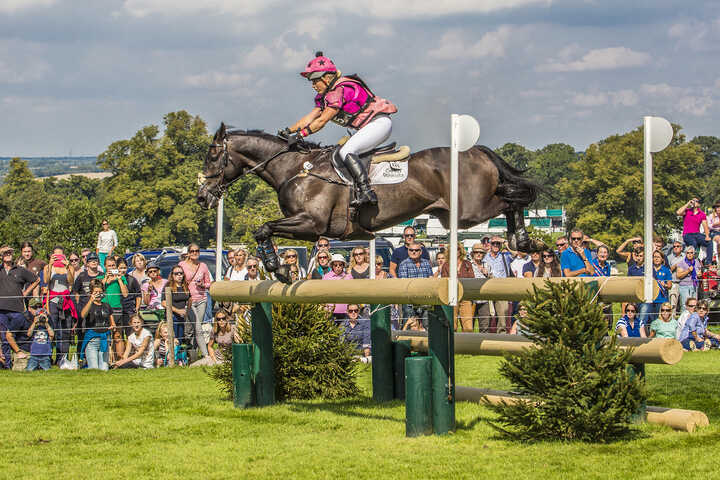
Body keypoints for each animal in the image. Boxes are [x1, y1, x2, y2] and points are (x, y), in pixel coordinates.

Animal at [194, 122, 544, 284]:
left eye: (212, 156)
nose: (202, 196)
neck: (294, 169)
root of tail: (477, 152)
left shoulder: (312, 224)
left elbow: (263, 228)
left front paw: (277, 268)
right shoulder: (309, 229)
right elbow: (263, 230)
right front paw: (277, 266)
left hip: (469, 211)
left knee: (513, 198)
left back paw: (524, 240)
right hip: (456, 215)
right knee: (511, 197)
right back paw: (522, 239)